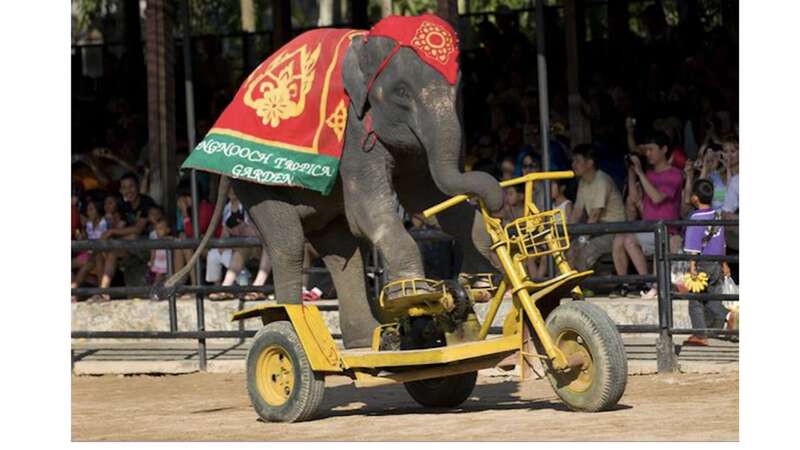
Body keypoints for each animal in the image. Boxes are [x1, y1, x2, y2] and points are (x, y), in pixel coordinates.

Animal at [159, 16, 504, 348]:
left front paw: (479, 283)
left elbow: (427, 197)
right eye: (402, 92)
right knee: (290, 244)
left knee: (342, 251)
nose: (499, 203)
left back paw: (366, 340)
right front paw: (414, 294)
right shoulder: (354, 132)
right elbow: (369, 210)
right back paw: (289, 326)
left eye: (457, 88)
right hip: (254, 184)